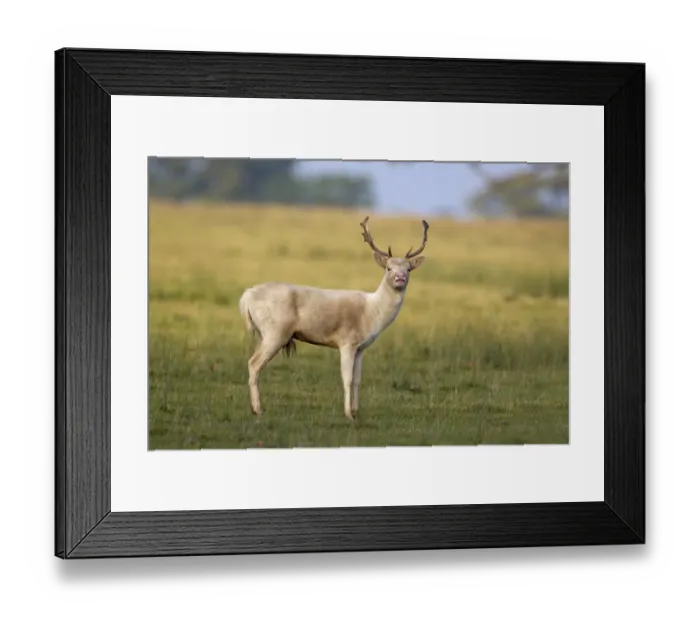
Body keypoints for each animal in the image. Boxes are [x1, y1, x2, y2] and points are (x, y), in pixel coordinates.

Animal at [239, 216, 429, 422]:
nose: (400, 278)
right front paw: (348, 414)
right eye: (388, 268)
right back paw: (257, 409)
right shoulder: (347, 341)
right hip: (275, 332)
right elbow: (347, 378)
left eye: (409, 269)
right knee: (253, 363)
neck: (371, 313)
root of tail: (246, 297)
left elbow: (357, 380)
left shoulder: (361, 348)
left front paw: (356, 411)